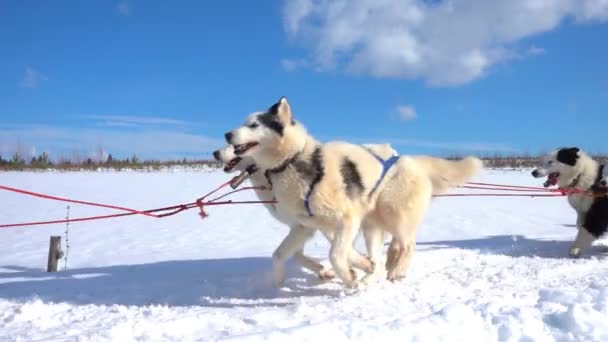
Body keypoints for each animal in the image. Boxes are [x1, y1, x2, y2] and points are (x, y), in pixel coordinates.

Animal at [221, 97, 482, 288]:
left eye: (254, 125)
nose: (227, 134)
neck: (294, 161)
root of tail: (410, 160)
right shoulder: (307, 226)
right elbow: (282, 255)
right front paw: (277, 282)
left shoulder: (346, 219)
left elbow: (337, 255)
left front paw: (349, 277)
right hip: (373, 223)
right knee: (390, 246)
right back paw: (381, 268)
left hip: (393, 212)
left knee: (408, 243)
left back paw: (395, 270)